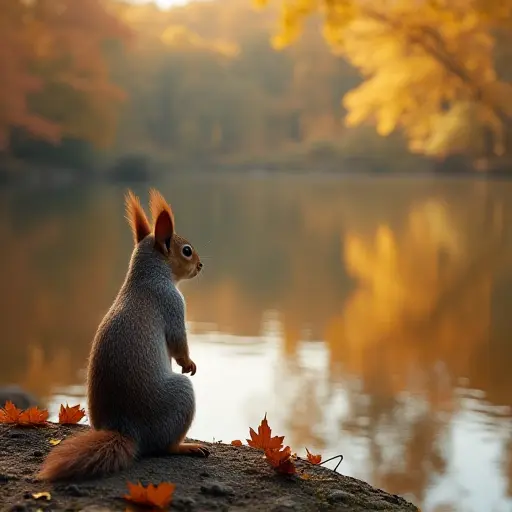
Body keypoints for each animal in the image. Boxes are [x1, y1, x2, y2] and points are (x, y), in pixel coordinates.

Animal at [37, 188, 210, 480]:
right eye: (186, 251)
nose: (200, 265)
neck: (146, 277)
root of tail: (126, 429)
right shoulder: (172, 305)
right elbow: (178, 343)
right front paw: (189, 363)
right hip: (180, 396)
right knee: (164, 447)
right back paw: (186, 446)